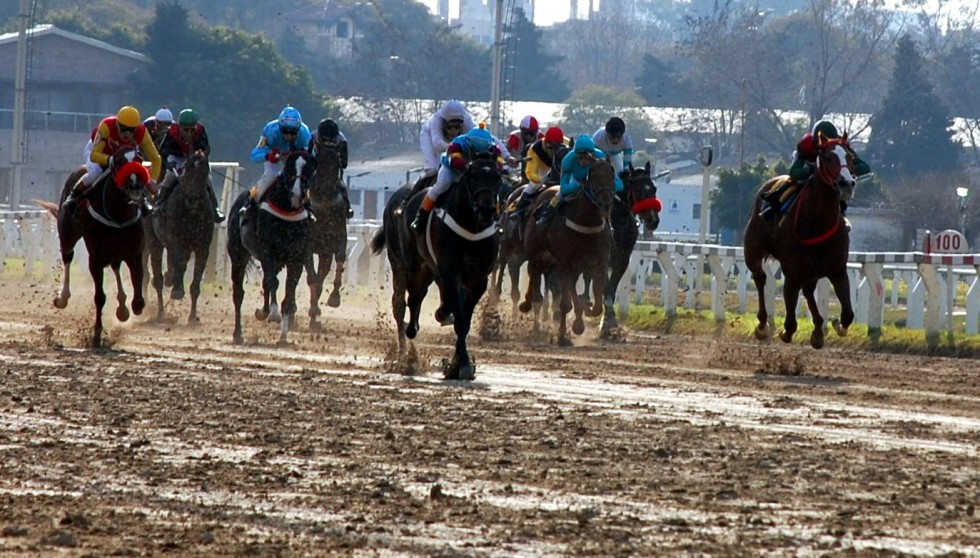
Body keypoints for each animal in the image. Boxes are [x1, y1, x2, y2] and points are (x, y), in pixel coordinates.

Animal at [34, 149, 150, 350]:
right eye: (119, 162)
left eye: (139, 159)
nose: (136, 184)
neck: (118, 214)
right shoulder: (95, 258)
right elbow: (99, 297)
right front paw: (96, 336)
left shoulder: (135, 254)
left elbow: (138, 294)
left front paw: (129, 308)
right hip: (68, 234)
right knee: (67, 257)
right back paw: (62, 298)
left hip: (113, 251)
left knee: (116, 267)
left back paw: (122, 308)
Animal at [227, 153, 312, 346]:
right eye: (288, 168)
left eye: (310, 169)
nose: (298, 194)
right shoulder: (268, 252)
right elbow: (273, 283)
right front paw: (272, 313)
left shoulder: (296, 258)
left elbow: (288, 293)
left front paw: (283, 335)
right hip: (238, 254)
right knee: (239, 293)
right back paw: (238, 334)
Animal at [372, 156, 502, 380]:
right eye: (473, 176)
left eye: (497, 177)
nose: (487, 210)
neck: (470, 227)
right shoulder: (450, 272)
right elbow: (459, 320)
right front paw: (463, 365)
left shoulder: (478, 280)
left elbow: (464, 319)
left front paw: (457, 364)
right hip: (405, 264)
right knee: (405, 303)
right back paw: (407, 354)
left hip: (427, 271)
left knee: (420, 297)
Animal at [516, 159, 616, 346]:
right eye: (593, 176)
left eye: (612, 176)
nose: (606, 204)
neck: (586, 222)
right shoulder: (563, 262)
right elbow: (564, 303)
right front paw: (562, 335)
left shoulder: (599, 263)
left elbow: (597, 304)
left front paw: (585, 312)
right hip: (536, 253)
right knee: (534, 273)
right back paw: (526, 303)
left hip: (571, 266)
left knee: (569, 287)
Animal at [744, 140, 856, 350]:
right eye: (828, 158)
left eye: (850, 158)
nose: (847, 183)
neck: (819, 223)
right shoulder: (792, 272)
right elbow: (790, 320)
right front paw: (785, 331)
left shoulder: (838, 270)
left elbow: (848, 314)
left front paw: (836, 324)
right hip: (752, 250)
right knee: (760, 277)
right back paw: (762, 325)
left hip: (812, 269)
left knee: (808, 291)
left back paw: (818, 330)